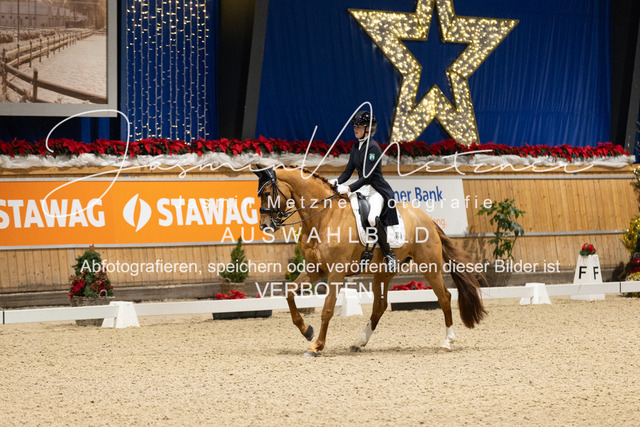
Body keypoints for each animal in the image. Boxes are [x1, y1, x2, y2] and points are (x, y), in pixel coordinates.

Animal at [252, 165, 486, 357]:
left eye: (267, 193)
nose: (265, 226)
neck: (325, 217)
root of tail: (426, 218)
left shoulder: (335, 272)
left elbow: (327, 309)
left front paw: (316, 346)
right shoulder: (316, 269)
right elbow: (289, 292)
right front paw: (306, 331)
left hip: (429, 266)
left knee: (444, 298)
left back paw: (447, 342)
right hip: (383, 272)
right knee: (379, 306)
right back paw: (359, 342)